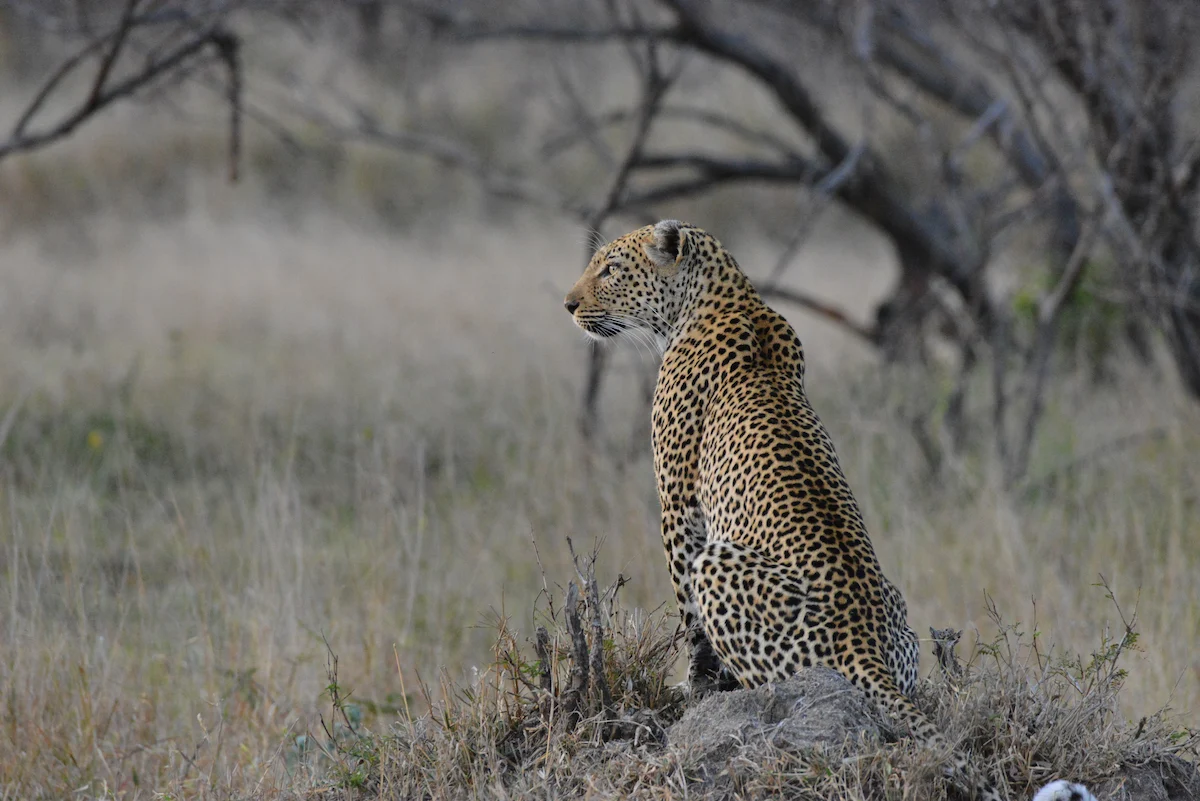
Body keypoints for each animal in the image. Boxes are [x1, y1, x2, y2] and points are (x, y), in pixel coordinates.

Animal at [564, 219, 1003, 800]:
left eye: (610, 269)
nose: (568, 304)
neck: (723, 294)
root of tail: (861, 642)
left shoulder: (679, 507)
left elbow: (689, 621)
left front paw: (695, 688)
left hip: (719, 568)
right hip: (901, 619)